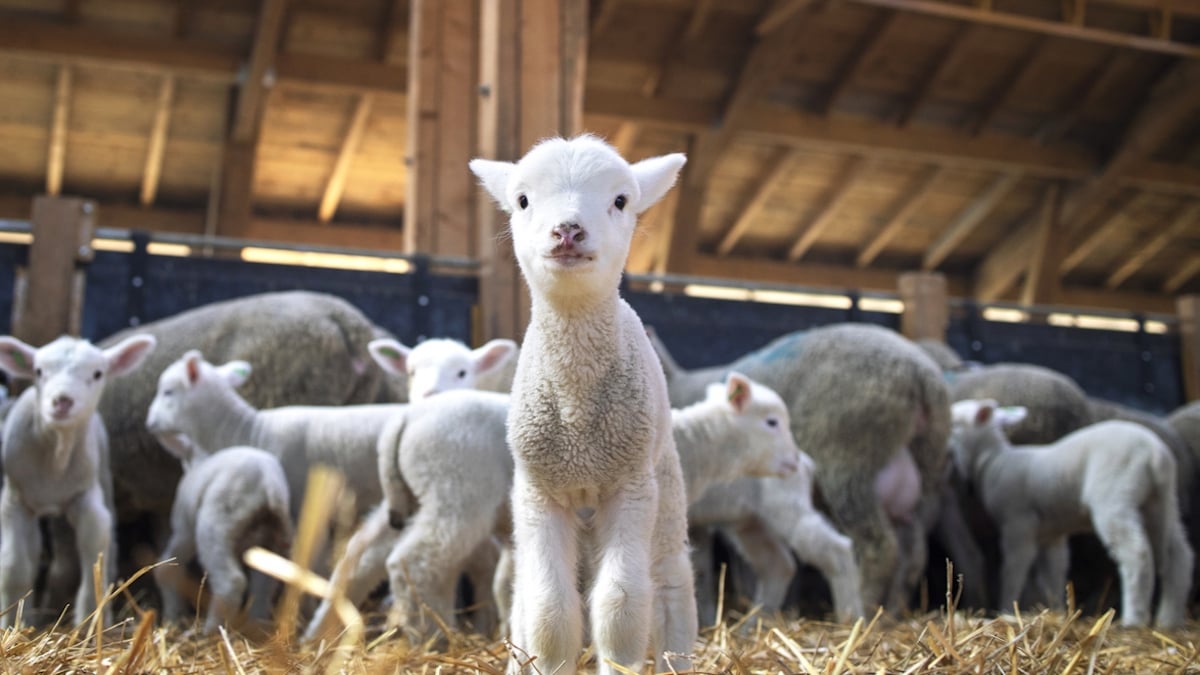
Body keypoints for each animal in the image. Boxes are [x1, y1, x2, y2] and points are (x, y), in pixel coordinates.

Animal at [0, 331, 157, 624]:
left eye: (97, 374)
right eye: (38, 371)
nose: (62, 401)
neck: (56, 456)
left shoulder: (87, 498)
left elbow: (95, 551)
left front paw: (90, 619)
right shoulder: (15, 501)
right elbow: (15, 566)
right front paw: (12, 621)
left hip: (104, 475)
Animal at [148, 432, 291, 634]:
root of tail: (267, 483)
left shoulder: (184, 526)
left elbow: (167, 567)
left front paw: (172, 614)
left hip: (215, 525)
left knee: (231, 582)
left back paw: (210, 631)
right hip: (272, 537)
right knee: (264, 584)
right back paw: (256, 627)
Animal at [470, 135, 696, 672]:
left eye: (621, 200)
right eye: (522, 200)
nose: (568, 230)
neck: (577, 420)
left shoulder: (630, 487)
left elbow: (621, 606)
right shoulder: (538, 494)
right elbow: (549, 612)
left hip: (665, 489)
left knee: (670, 584)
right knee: (523, 601)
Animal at [652, 319, 950, 610]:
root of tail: (921, 374)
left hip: (848, 468)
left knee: (876, 548)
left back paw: (863, 607)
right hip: (923, 473)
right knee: (913, 554)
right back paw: (892, 611)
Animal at [945, 393, 1190, 624]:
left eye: (955, 422)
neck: (992, 461)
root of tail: (1155, 453)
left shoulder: (1018, 523)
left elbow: (1013, 569)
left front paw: (1006, 607)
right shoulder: (1051, 535)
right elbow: (1054, 573)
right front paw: (1058, 610)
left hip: (1115, 496)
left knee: (1137, 553)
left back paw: (1134, 619)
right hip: (1161, 503)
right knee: (1178, 554)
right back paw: (1169, 619)